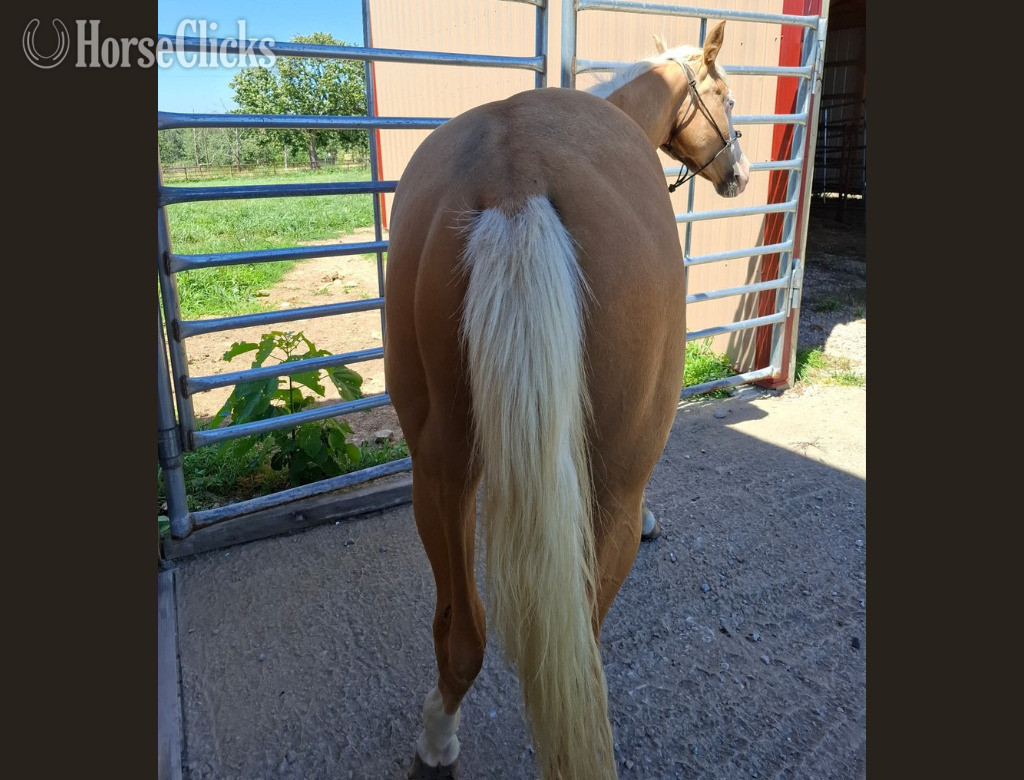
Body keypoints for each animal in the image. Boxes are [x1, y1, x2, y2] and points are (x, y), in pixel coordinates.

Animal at [383, 21, 749, 779]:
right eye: (727, 97)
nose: (741, 174)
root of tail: (514, 179)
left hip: (438, 470)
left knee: (462, 633)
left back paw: (436, 739)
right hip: (609, 488)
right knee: (581, 641)